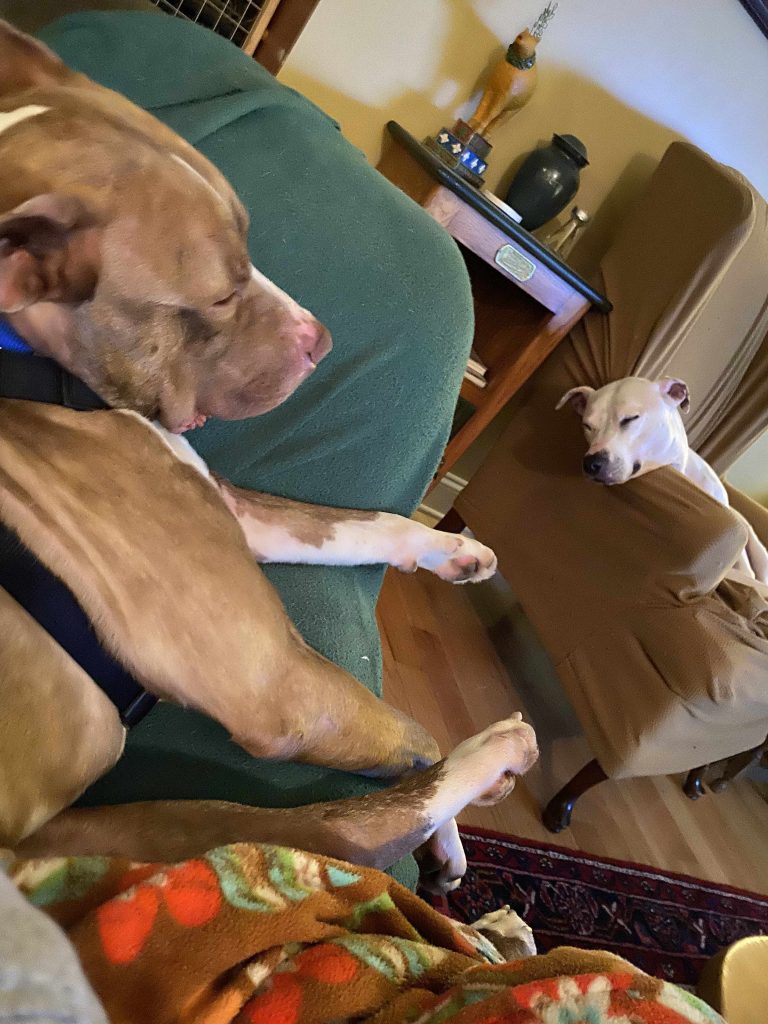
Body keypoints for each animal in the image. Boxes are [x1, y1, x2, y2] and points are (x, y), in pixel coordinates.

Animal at [0, 21, 540, 892]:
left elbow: (361, 523)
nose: (321, 341)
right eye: (220, 294)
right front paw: (457, 805)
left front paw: (453, 550)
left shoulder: (224, 501)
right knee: (339, 831)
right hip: (140, 831)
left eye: (250, 237)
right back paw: (489, 756)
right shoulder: (279, 685)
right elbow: (408, 734)